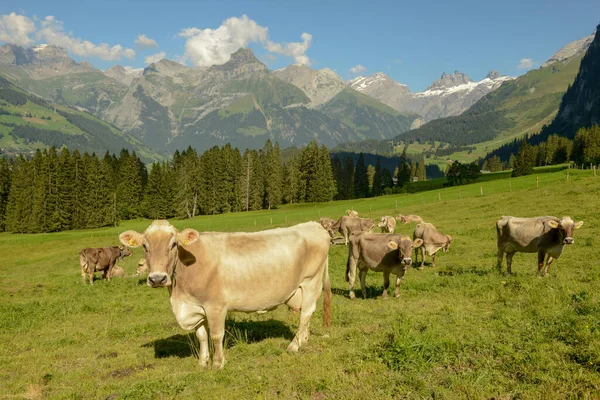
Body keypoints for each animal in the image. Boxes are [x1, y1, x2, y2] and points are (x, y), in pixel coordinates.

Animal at [119, 220, 330, 370]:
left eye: (173, 244)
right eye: (145, 246)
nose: (157, 279)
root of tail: (314, 225)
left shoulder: (215, 306)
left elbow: (215, 335)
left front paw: (218, 363)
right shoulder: (196, 306)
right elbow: (201, 336)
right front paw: (202, 362)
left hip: (310, 281)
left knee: (306, 313)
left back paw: (294, 345)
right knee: (306, 314)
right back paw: (303, 339)